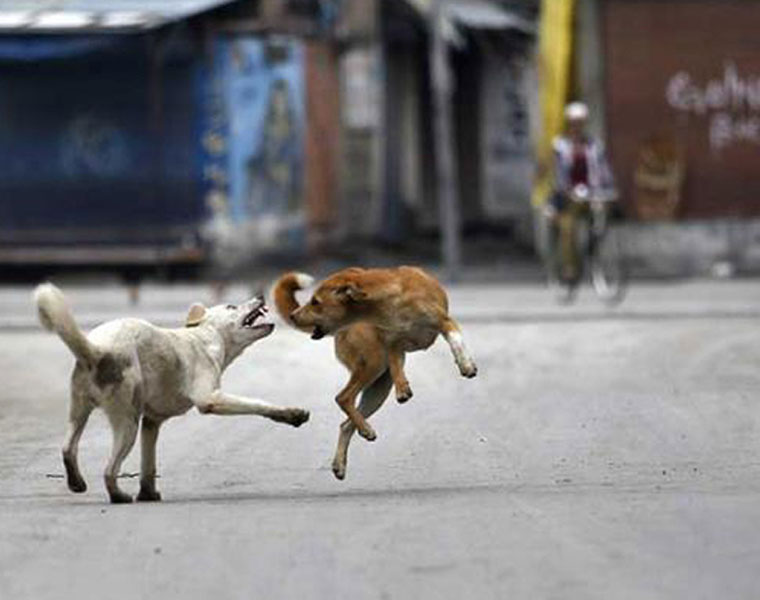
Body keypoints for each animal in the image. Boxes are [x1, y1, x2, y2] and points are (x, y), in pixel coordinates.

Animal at [35, 284, 308, 504]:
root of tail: (98, 350)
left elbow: (148, 465)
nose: (261, 295)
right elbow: (258, 404)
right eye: (232, 306)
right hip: (127, 422)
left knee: (68, 448)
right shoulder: (210, 399)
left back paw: (77, 483)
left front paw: (147, 494)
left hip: (80, 409)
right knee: (109, 470)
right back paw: (119, 496)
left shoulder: (151, 422)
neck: (206, 336)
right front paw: (292, 414)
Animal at [274, 266, 476, 478]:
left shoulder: (443, 322)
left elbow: (455, 340)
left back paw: (343, 459)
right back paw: (365, 430)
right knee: (343, 398)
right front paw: (402, 387)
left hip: (377, 388)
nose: (293, 316)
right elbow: (396, 363)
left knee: (345, 424)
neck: (393, 303)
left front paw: (465, 364)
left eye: (315, 302)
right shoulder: (393, 343)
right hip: (373, 364)